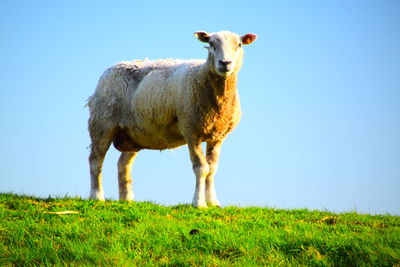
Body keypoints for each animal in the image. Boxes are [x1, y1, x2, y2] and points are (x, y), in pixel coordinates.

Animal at [86, 30, 256, 208]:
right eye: (211, 45)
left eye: (239, 45)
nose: (225, 63)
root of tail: (109, 70)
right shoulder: (191, 131)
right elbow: (201, 168)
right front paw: (199, 203)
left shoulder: (217, 136)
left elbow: (212, 169)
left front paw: (213, 202)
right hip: (102, 123)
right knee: (96, 160)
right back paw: (97, 196)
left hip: (133, 133)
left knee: (123, 165)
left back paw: (127, 199)